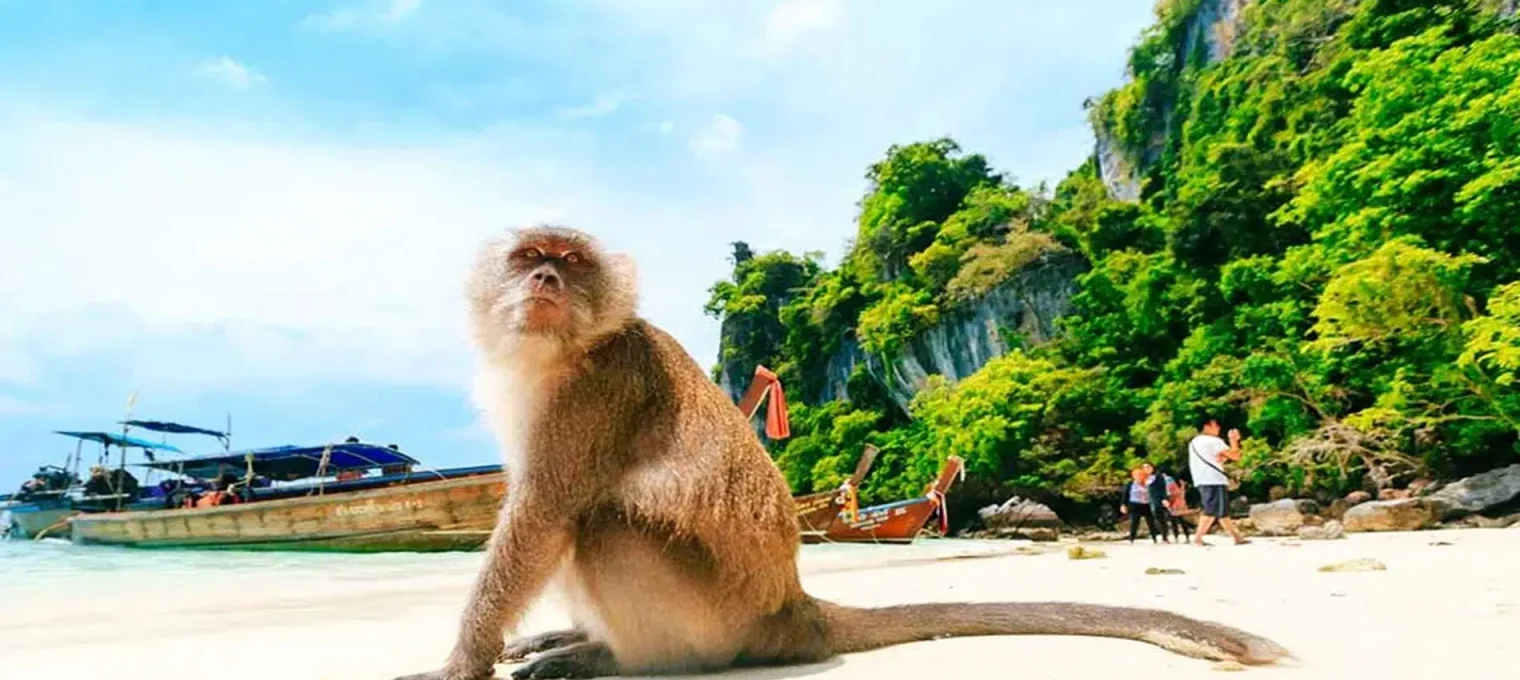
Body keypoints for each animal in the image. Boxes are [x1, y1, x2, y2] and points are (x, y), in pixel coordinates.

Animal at [394, 225, 1290, 680]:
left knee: (603, 522)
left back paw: (621, 661)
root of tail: (794, 609)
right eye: (527, 258)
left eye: (571, 263)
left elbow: (543, 515)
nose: (546, 280)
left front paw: (457, 664)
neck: (566, 350)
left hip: (710, 616)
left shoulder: (592, 393)